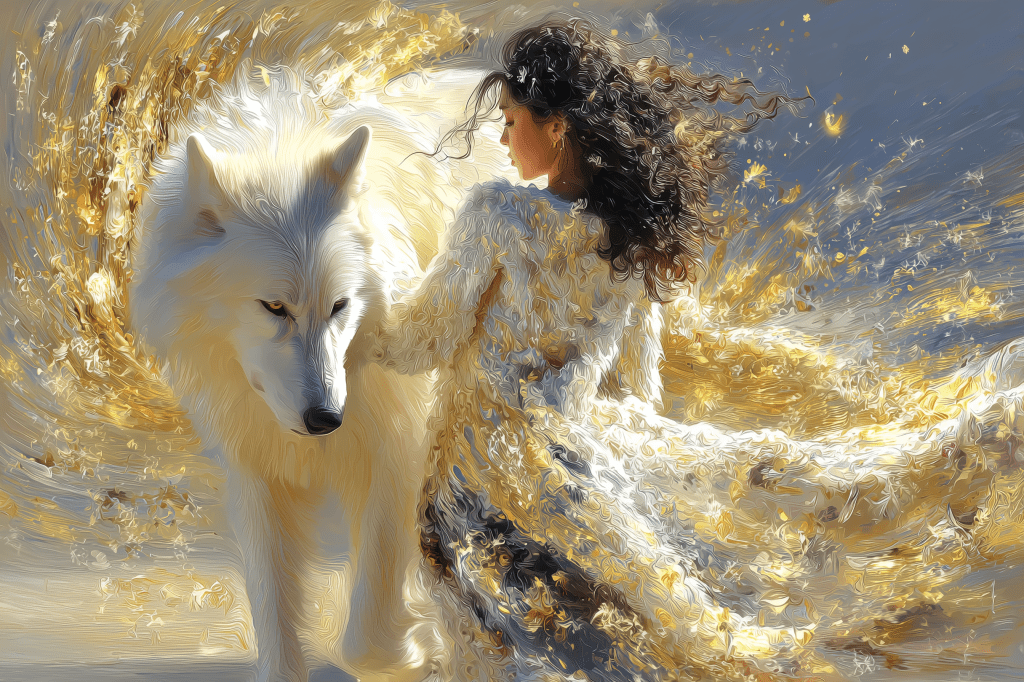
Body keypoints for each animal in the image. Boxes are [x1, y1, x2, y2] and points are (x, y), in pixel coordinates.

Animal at [129, 66, 453, 681]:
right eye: (274, 307)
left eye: (340, 305)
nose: (326, 418)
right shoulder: (257, 470)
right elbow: (275, 614)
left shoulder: (396, 448)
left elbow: (366, 632)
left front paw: (416, 647)